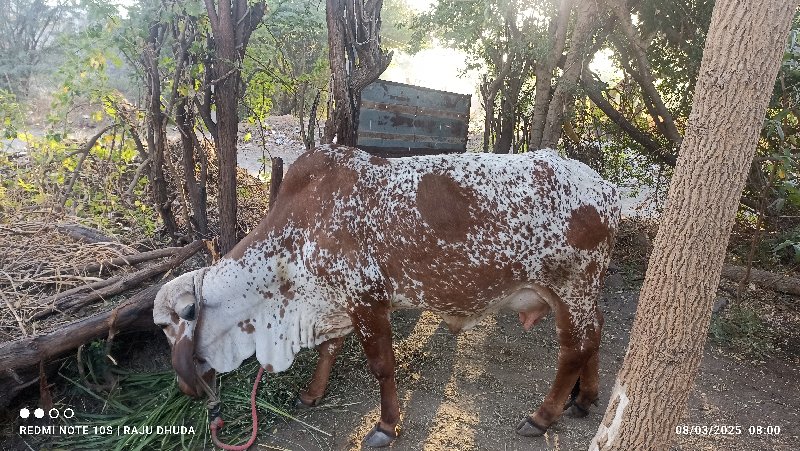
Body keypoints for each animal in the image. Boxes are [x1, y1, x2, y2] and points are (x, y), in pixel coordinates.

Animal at [153, 144, 620, 444]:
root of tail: (605, 189)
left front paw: (385, 426)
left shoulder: (367, 300)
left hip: (570, 286)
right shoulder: (337, 301)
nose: (182, 385)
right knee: (596, 332)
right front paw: (312, 392)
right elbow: (329, 349)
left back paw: (542, 416)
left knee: (575, 349)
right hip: (580, 293)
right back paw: (585, 399)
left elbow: (381, 366)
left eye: (170, 326)